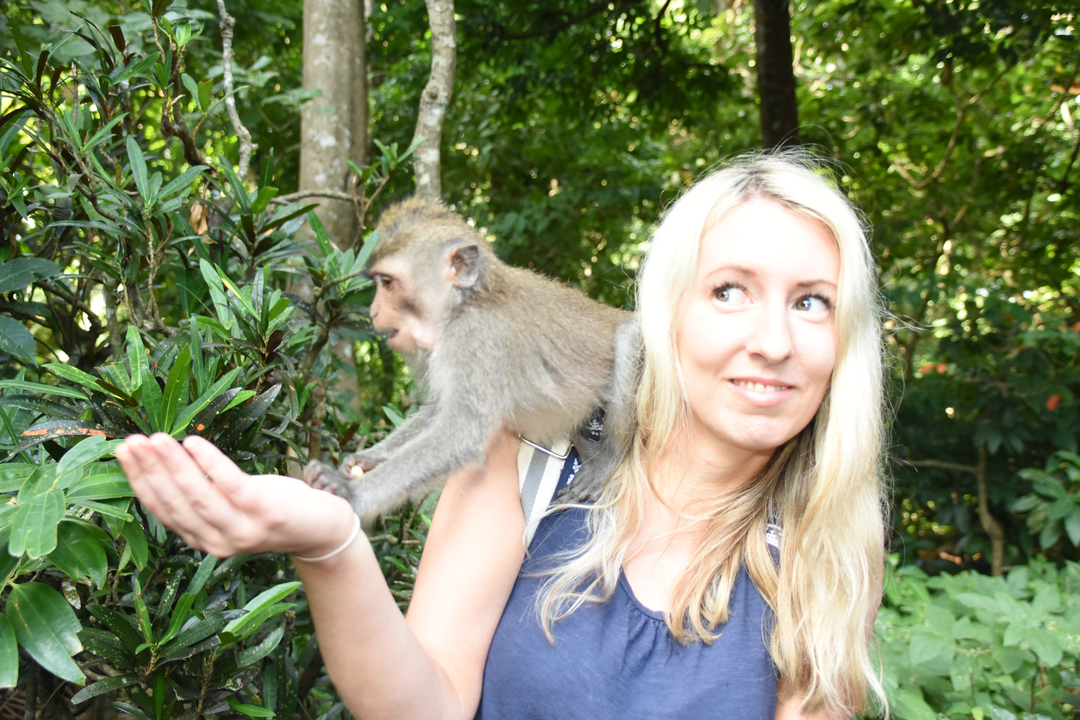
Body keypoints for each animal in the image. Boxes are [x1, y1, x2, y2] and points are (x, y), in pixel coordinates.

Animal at [302, 197, 641, 517]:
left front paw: (350, 491)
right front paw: (368, 458)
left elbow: (461, 432)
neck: (467, 303)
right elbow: (440, 410)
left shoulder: (476, 339)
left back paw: (607, 457)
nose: (373, 310)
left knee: (628, 337)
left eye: (387, 283)